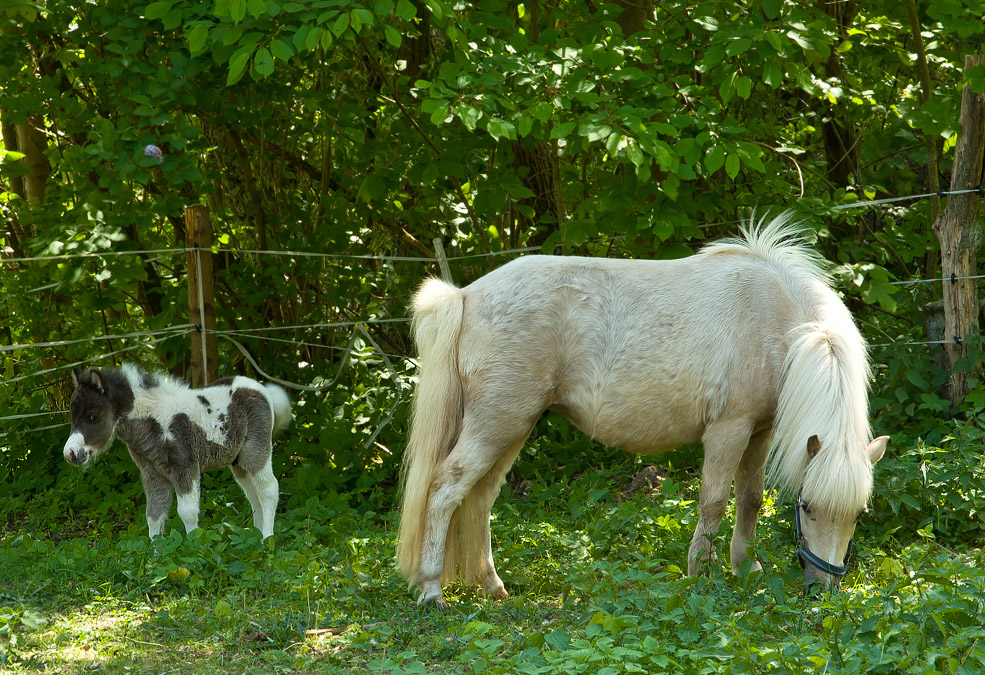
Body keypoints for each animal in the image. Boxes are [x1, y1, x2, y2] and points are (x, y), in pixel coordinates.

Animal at [396, 217, 888, 608]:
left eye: (859, 513)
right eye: (807, 506)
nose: (822, 589)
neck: (775, 319)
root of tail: (466, 296)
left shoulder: (760, 431)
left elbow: (749, 499)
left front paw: (746, 570)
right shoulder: (728, 431)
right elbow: (713, 502)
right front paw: (700, 575)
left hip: (512, 428)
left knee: (478, 500)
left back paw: (491, 586)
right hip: (495, 425)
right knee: (445, 490)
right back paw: (432, 590)